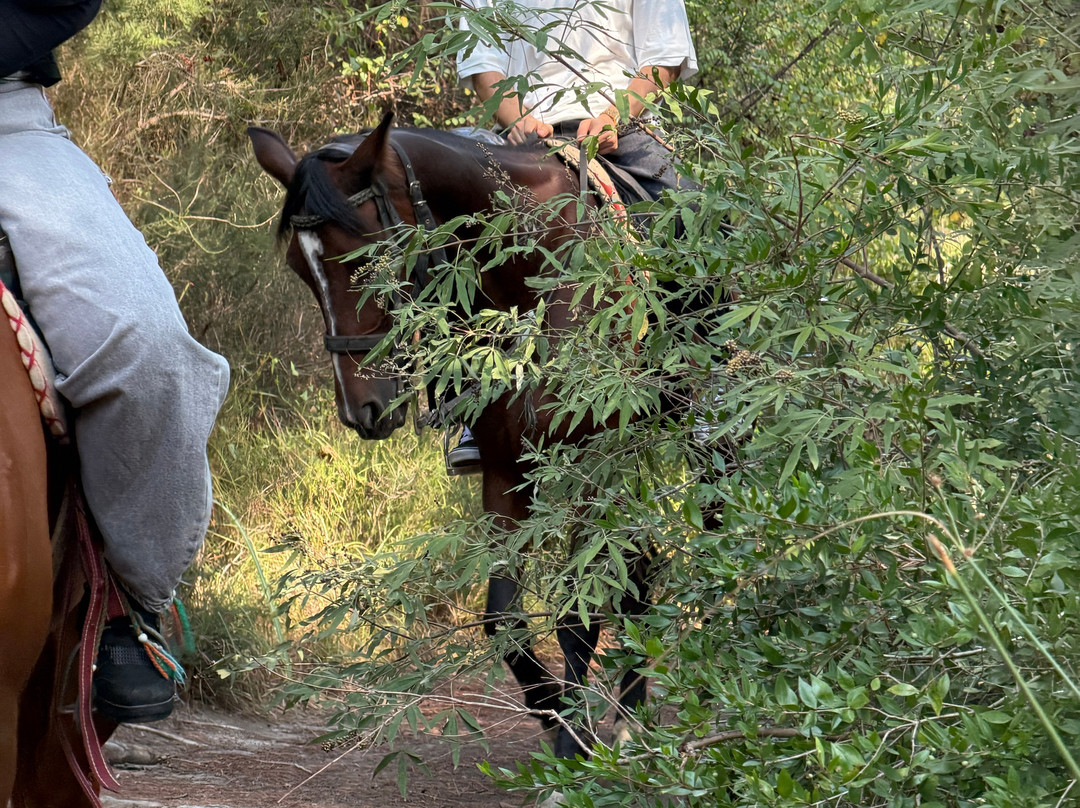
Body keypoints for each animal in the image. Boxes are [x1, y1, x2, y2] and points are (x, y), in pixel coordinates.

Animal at [250, 112, 700, 759]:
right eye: (299, 270)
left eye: (367, 256)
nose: (362, 410)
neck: (538, 276)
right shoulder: (507, 471)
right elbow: (504, 621)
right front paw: (560, 717)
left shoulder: (588, 466)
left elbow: (577, 609)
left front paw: (574, 744)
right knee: (641, 571)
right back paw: (628, 712)